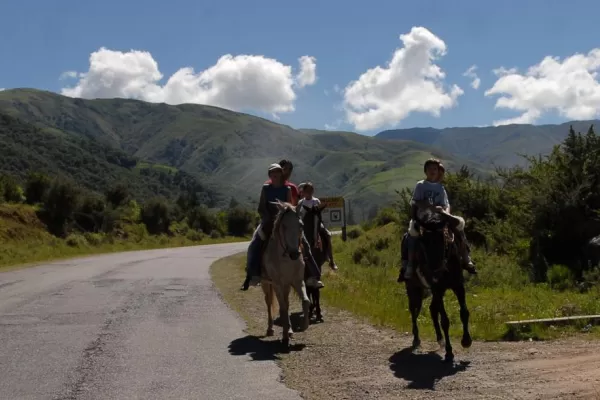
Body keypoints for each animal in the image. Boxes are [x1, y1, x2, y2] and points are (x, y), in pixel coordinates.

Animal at [262, 199, 310, 346]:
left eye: (301, 225)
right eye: (283, 226)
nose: (295, 254)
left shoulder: (297, 281)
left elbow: (305, 301)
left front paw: (304, 325)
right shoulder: (277, 284)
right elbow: (282, 308)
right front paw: (284, 338)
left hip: (286, 285)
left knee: (287, 303)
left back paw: (289, 330)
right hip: (266, 284)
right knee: (268, 302)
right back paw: (270, 329)